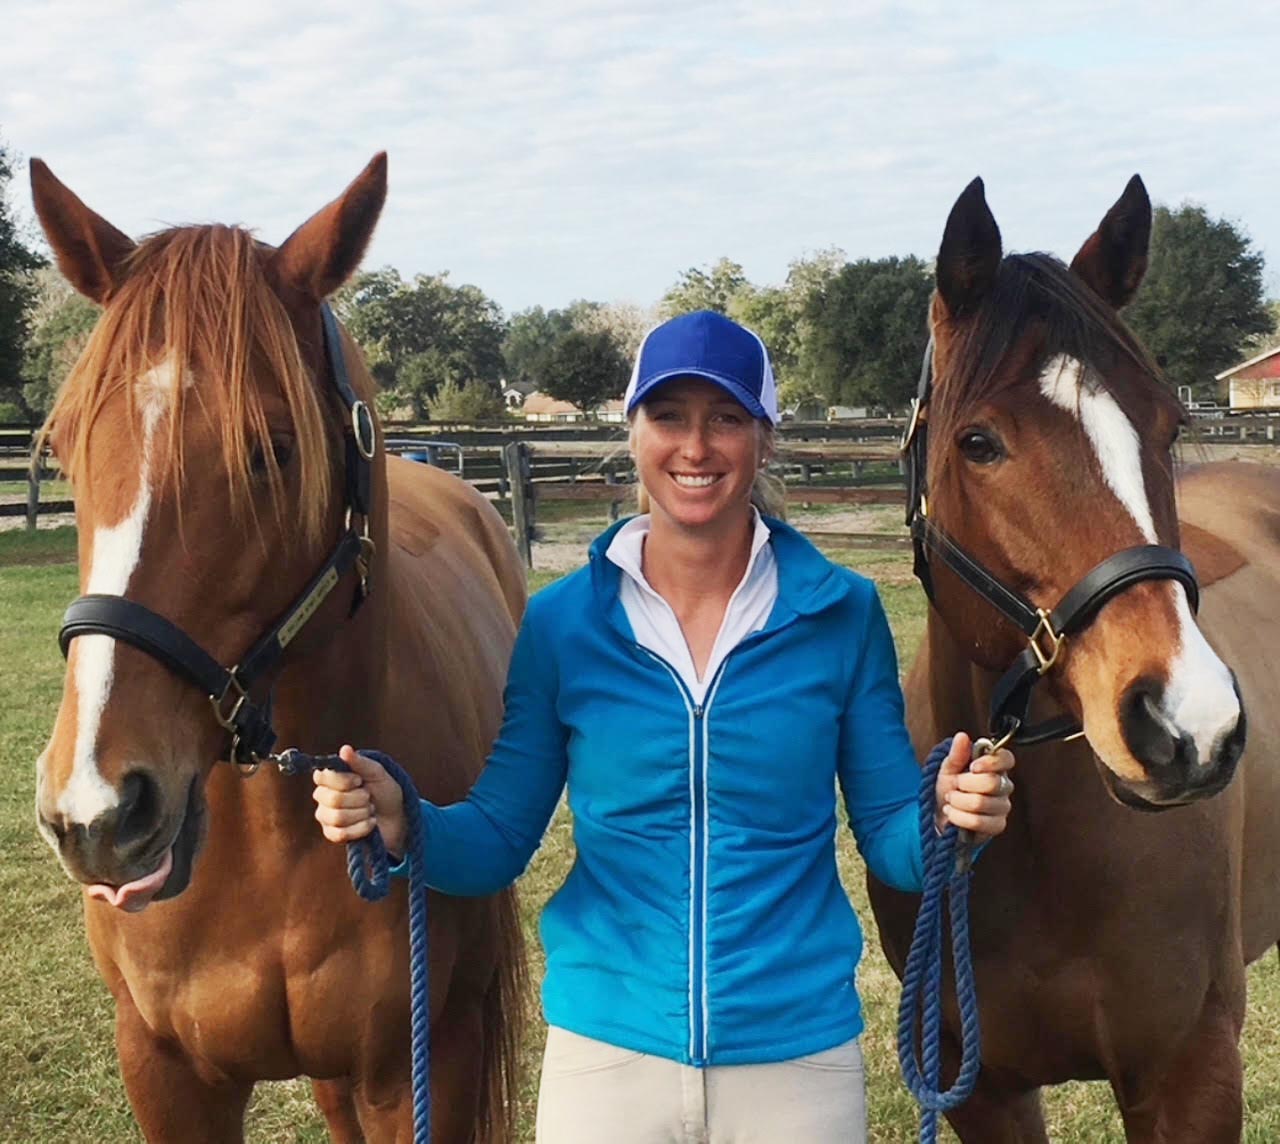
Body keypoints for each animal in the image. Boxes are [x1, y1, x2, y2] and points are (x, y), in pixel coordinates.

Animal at [32, 154, 527, 1144]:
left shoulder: (425, 1069)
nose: (98, 811)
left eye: (273, 449)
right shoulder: (166, 1074)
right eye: (63, 445)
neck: (267, 849)